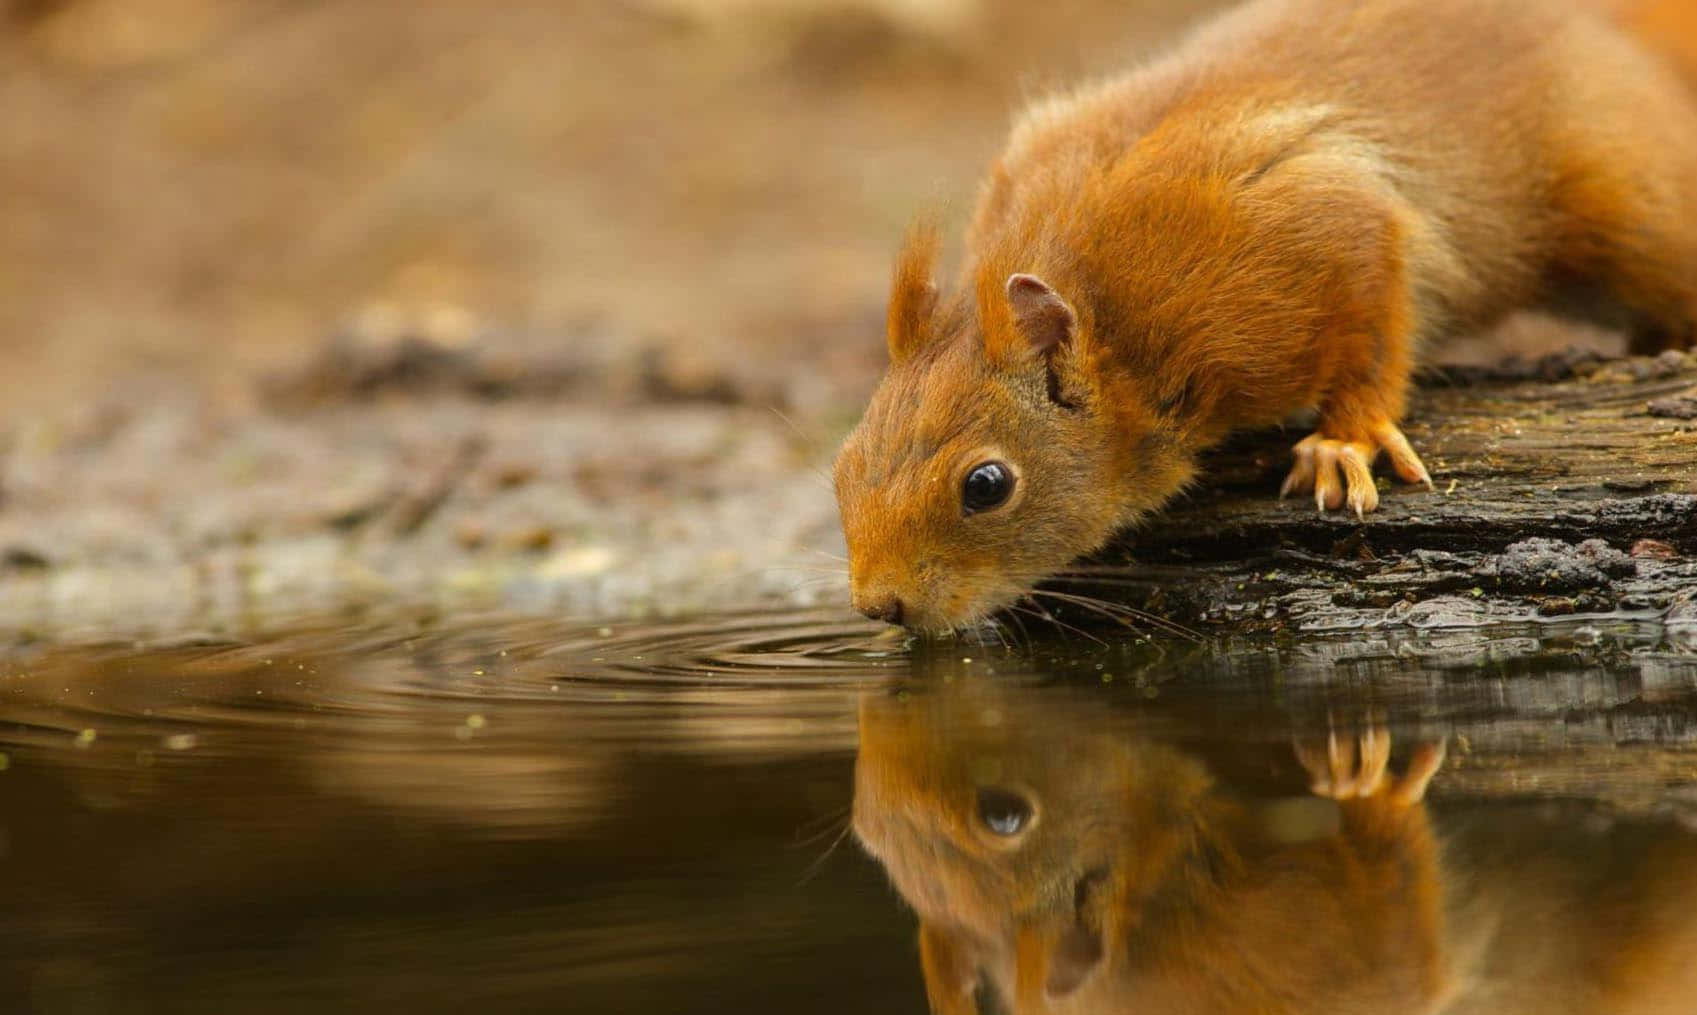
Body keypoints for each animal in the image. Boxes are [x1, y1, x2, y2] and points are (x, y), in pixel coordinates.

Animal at [831, 0, 1697, 631]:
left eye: (986, 485)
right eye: (840, 466)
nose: (881, 606)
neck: (1115, 330)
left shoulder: (1309, 227)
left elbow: (1374, 321)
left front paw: (1347, 437)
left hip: (1627, 205)